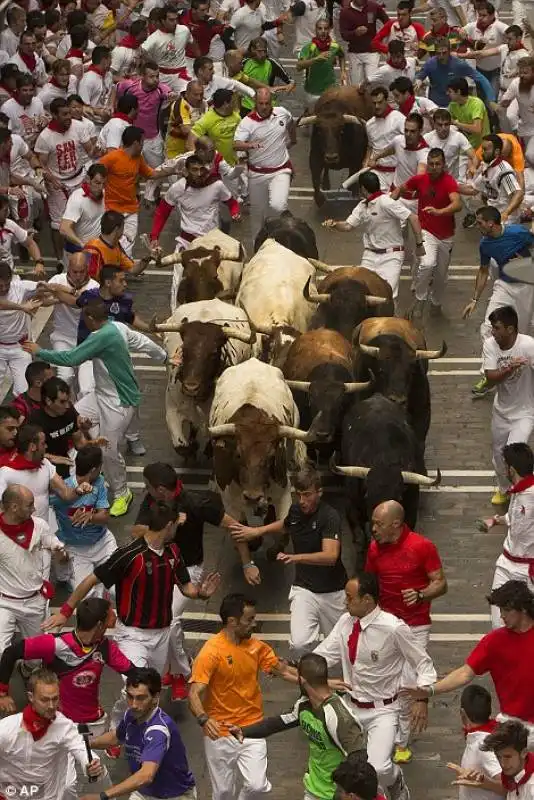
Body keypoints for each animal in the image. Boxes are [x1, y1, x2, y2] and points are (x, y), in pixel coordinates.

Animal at [153, 298, 258, 462]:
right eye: (184, 350)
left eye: (214, 352)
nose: (190, 387)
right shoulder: (172, 410)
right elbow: (183, 447)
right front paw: (192, 448)